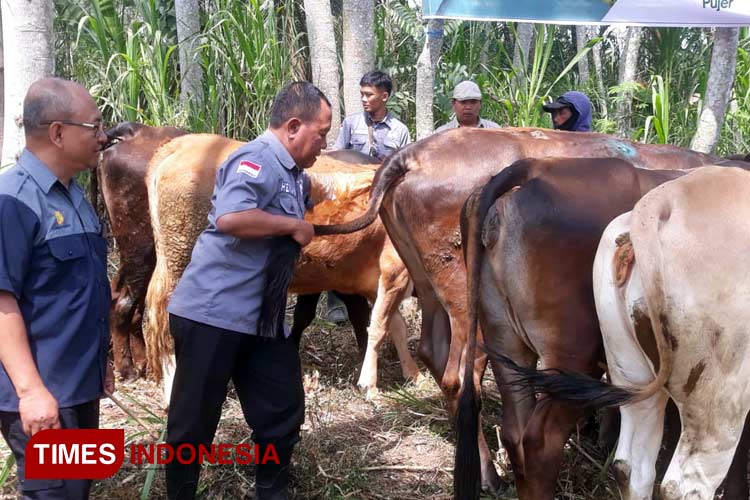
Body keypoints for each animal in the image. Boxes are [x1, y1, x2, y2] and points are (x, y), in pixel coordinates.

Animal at [140, 133, 424, 402]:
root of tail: (180, 143)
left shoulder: (381, 282)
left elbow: (396, 326)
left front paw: (413, 374)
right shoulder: (394, 272)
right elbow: (378, 326)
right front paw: (371, 385)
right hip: (179, 262)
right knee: (165, 321)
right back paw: (171, 390)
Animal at [314, 127, 720, 494]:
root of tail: (409, 156)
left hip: (431, 290)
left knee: (436, 355)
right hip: (488, 318)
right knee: (463, 382)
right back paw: (488, 474)